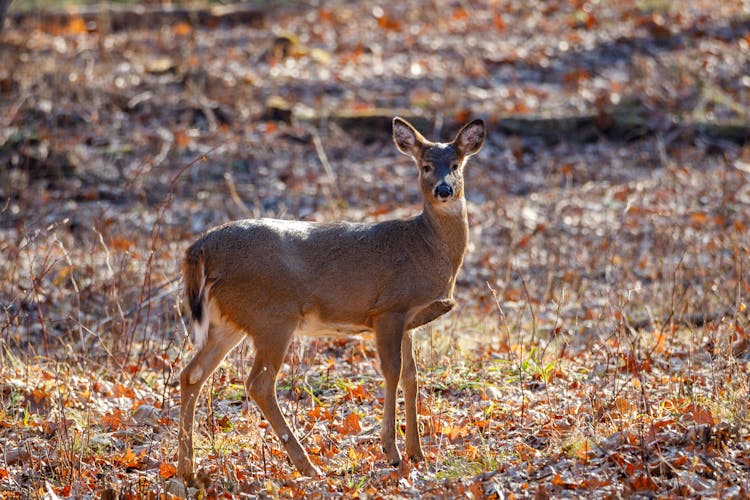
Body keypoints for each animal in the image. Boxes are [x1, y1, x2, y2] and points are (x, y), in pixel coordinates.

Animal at [178, 117, 488, 480]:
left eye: (455, 165)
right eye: (425, 166)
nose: (444, 189)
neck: (424, 248)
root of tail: (201, 248)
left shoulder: (409, 320)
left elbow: (411, 377)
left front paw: (417, 452)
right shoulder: (389, 309)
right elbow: (392, 373)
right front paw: (392, 452)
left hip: (228, 321)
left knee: (192, 375)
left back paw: (186, 467)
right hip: (272, 315)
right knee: (259, 383)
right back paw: (306, 464)